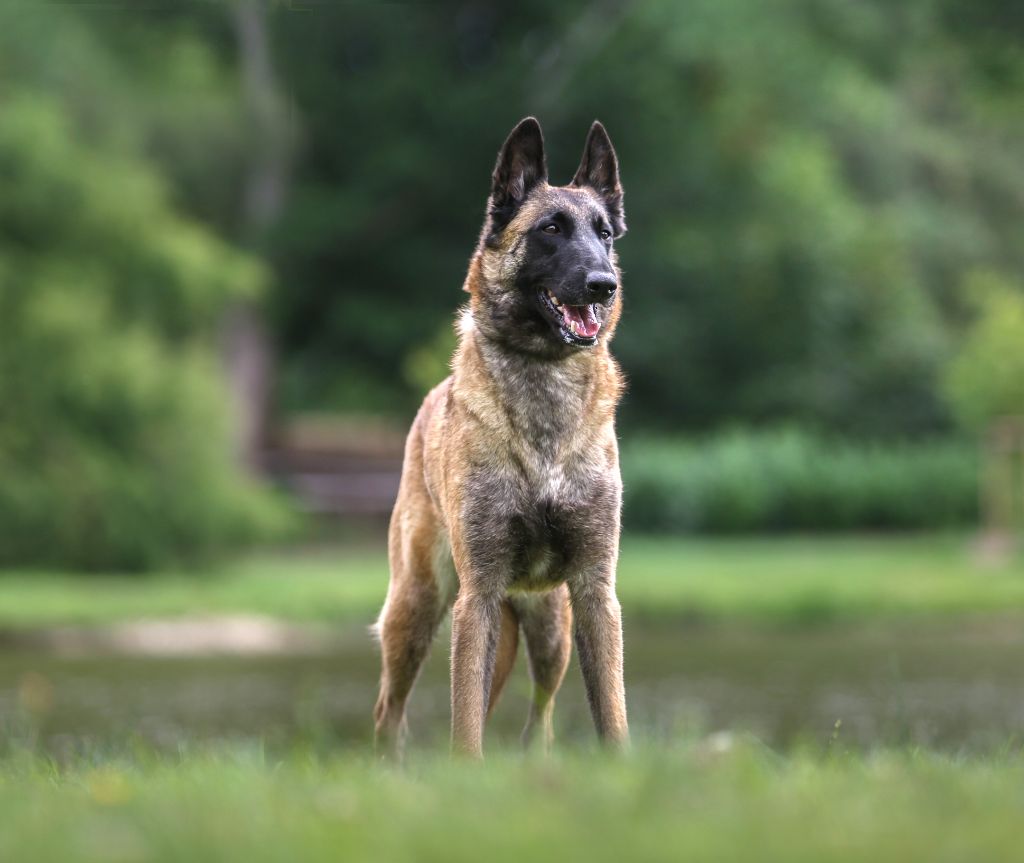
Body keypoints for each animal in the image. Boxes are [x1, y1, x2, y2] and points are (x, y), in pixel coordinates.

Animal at [374, 118, 626, 757]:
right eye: (550, 230)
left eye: (603, 233)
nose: (603, 284)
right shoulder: (478, 597)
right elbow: (464, 724)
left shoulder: (595, 591)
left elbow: (611, 713)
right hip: (417, 607)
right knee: (391, 710)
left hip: (550, 628)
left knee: (540, 719)